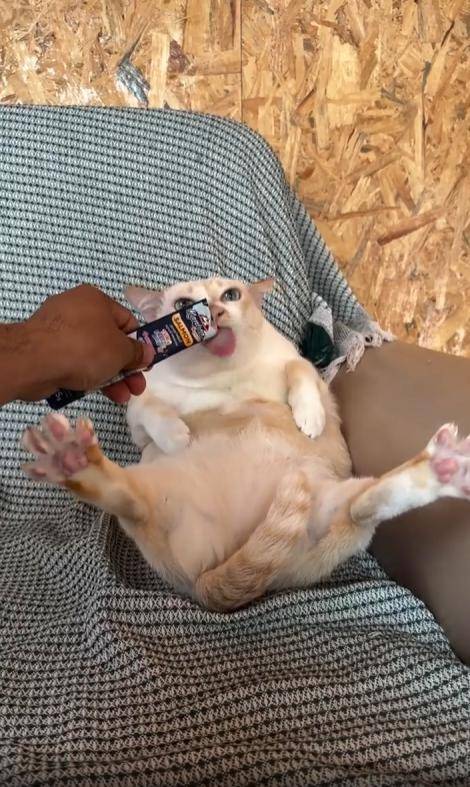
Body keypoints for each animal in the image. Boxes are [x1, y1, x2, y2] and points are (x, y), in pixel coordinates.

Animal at [22, 278, 470, 611]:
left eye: (231, 295)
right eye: (184, 303)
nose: (215, 313)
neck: (224, 378)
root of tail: (210, 582)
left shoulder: (298, 363)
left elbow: (299, 374)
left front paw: (309, 418)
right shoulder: (138, 415)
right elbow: (153, 411)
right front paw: (177, 435)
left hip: (341, 508)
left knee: (367, 504)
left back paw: (443, 468)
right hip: (150, 501)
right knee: (130, 501)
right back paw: (71, 457)